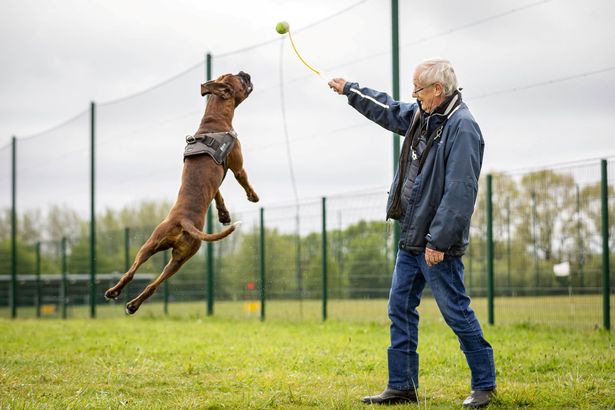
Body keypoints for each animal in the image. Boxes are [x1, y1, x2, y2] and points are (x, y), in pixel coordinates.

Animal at [104, 71, 258, 314]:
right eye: (240, 80)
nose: (246, 73)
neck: (214, 120)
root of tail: (184, 221)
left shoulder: (216, 183)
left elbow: (217, 194)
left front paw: (224, 215)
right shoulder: (237, 166)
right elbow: (243, 180)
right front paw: (253, 196)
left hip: (160, 250)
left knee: (138, 277)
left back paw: (123, 298)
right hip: (176, 251)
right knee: (146, 280)